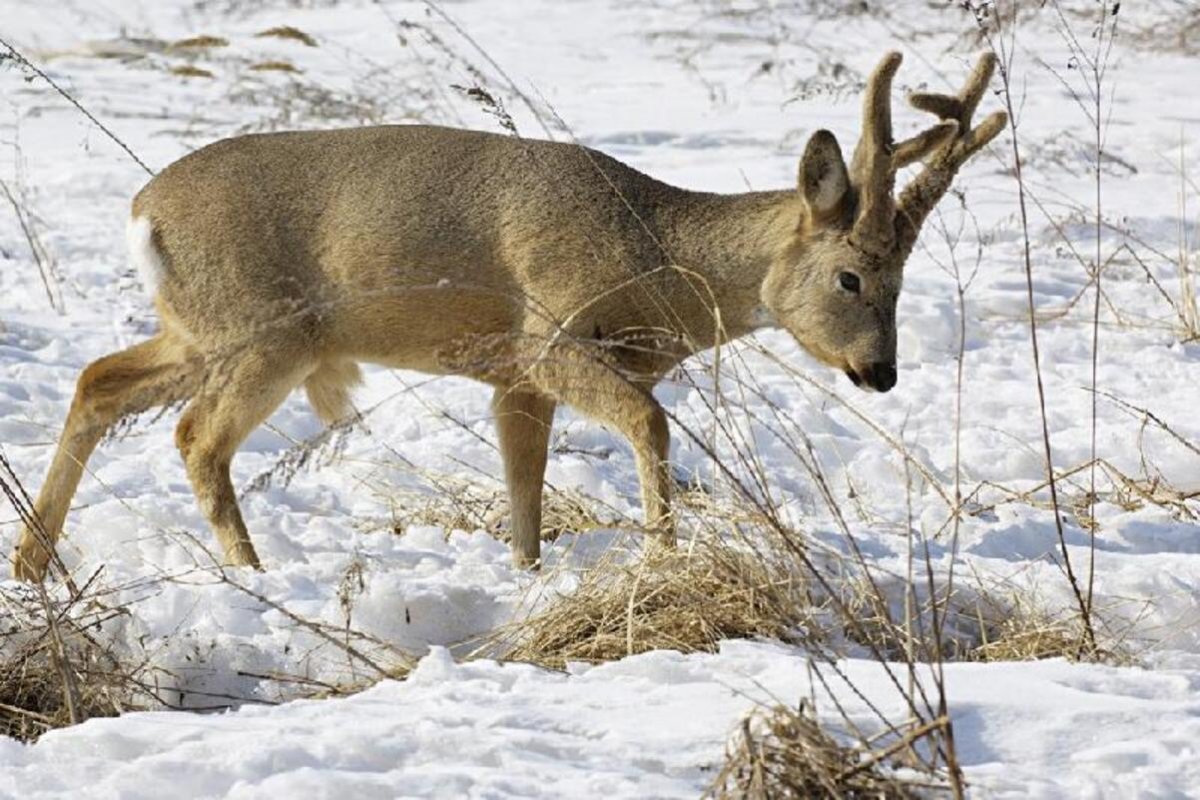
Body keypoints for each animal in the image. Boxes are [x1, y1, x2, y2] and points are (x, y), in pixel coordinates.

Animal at [11, 51, 1003, 582]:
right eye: (850, 277)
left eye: (902, 281)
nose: (881, 371)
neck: (654, 257)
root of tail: (144, 210)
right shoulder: (547, 334)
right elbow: (649, 422)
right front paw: (661, 560)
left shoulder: (512, 378)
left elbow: (524, 489)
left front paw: (528, 579)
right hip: (268, 329)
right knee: (195, 437)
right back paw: (254, 576)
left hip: (201, 327)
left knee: (97, 382)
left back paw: (32, 566)